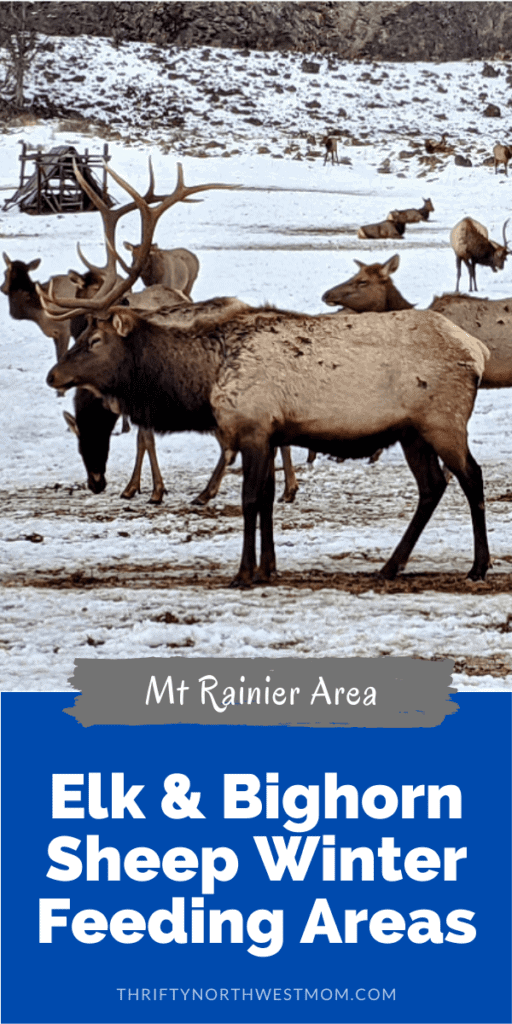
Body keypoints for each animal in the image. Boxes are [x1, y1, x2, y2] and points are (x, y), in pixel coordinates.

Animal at [44, 162, 491, 586]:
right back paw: (390, 565)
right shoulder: (273, 433)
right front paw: (268, 568)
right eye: (81, 333)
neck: (204, 381)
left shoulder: (253, 427)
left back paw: (478, 566)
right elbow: (269, 500)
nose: (53, 376)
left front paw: (244, 572)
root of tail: (476, 351)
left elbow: (250, 500)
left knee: (471, 477)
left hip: (443, 420)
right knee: (432, 487)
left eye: (95, 339)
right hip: (411, 430)